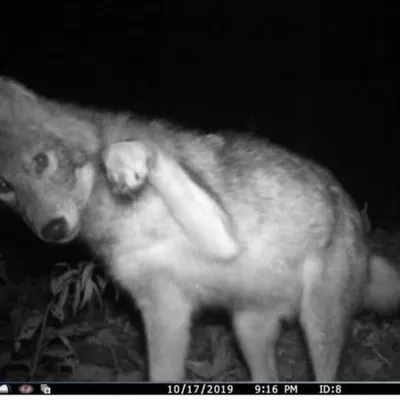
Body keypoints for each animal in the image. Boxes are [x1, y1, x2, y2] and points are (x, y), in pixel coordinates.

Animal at [0, 76, 399, 382]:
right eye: (5, 187)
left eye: (41, 161)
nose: (51, 229)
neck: (113, 221)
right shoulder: (164, 311)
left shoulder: (223, 237)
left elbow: (137, 149)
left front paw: (126, 161)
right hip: (247, 332)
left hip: (317, 326)